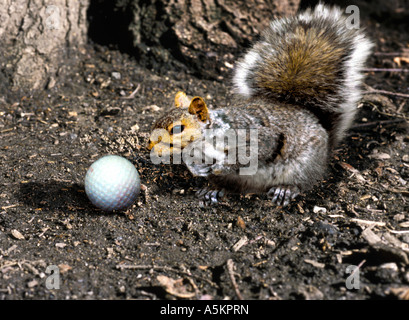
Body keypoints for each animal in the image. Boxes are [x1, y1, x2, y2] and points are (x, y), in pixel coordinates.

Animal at [147, 3, 372, 206]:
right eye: (156, 122)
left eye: (177, 129)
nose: (150, 144)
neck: (202, 143)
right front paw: (197, 170)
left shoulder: (249, 134)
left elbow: (255, 150)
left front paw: (223, 165)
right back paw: (212, 189)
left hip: (303, 165)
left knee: (301, 183)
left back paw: (285, 189)